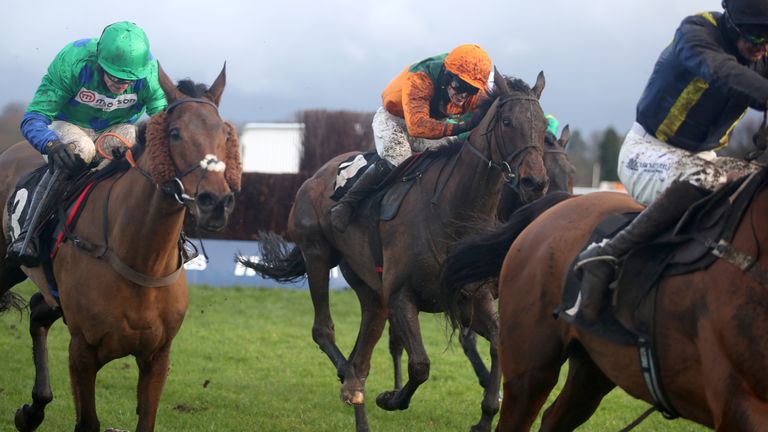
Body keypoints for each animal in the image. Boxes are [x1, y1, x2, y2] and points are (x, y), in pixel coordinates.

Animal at [0, 65, 240, 432]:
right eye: (175, 133)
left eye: (225, 135)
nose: (215, 203)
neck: (142, 259)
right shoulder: (82, 352)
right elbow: (88, 422)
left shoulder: (157, 357)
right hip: (7, 264)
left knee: (39, 309)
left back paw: (33, 411)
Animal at [242, 69, 552, 430]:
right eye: (506, 121)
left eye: (542, 127)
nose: (535, 182)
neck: (453, 211)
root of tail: (316, 175)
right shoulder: (403, 296)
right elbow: (420, 365)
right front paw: (391, 398)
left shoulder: (473, 297)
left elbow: (499, 344)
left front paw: (486, 415)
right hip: (318, 255)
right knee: (325, 332)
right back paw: (350, 382)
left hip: (372, 293)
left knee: (361, 353)